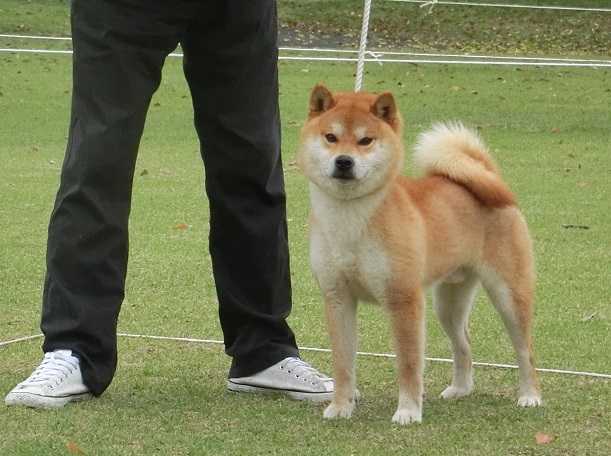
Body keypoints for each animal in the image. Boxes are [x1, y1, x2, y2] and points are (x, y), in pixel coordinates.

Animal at [298, 84, 544, 424]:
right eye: (330, 137)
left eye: (365, 140)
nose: (344, 161)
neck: (350, 219)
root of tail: (490, 177)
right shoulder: (338, 298)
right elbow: (343, 362)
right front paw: (341, 406)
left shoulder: (404, 299)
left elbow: (409, 362)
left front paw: (408, 411)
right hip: (448, 303)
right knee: (463, 345)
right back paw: (460, 389)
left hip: (509, 295)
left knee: (525, 351)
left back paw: (530, 395)